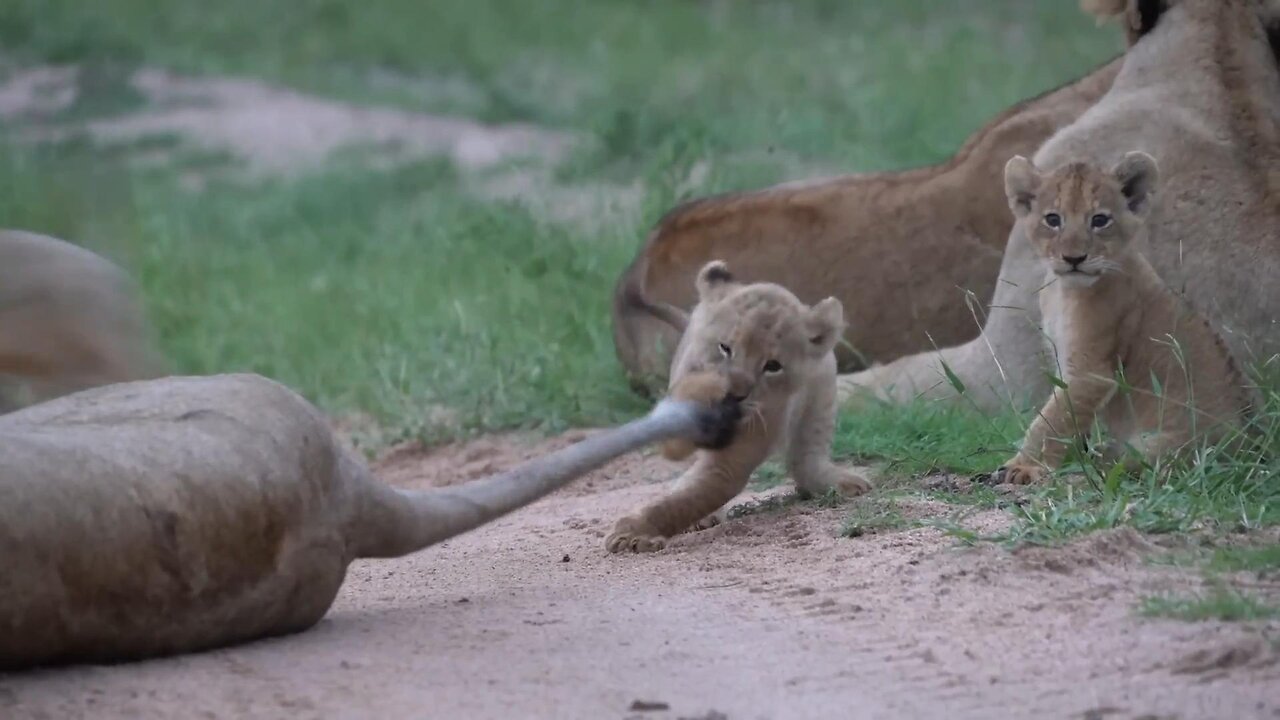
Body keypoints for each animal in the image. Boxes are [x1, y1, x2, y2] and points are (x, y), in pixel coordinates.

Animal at [606, 261, 870, 553]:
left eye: (773, 366)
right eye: (725, 348)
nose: (735, 394)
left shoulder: (732, 462)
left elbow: (684, 501)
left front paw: (634, 533)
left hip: (821, 394)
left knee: (807, 458)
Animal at [991, 152, 1255, 484]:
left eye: (1099, 220)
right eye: (1053, 219)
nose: (1074, 258)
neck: (1063, 291)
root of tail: (1252, 449)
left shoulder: (1092, 372)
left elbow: (1052, 419)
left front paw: (1023, 466)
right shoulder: (1067, 363)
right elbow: (1069, 417)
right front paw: (1070, 454)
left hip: (1159, 447)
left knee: (1126, 469)